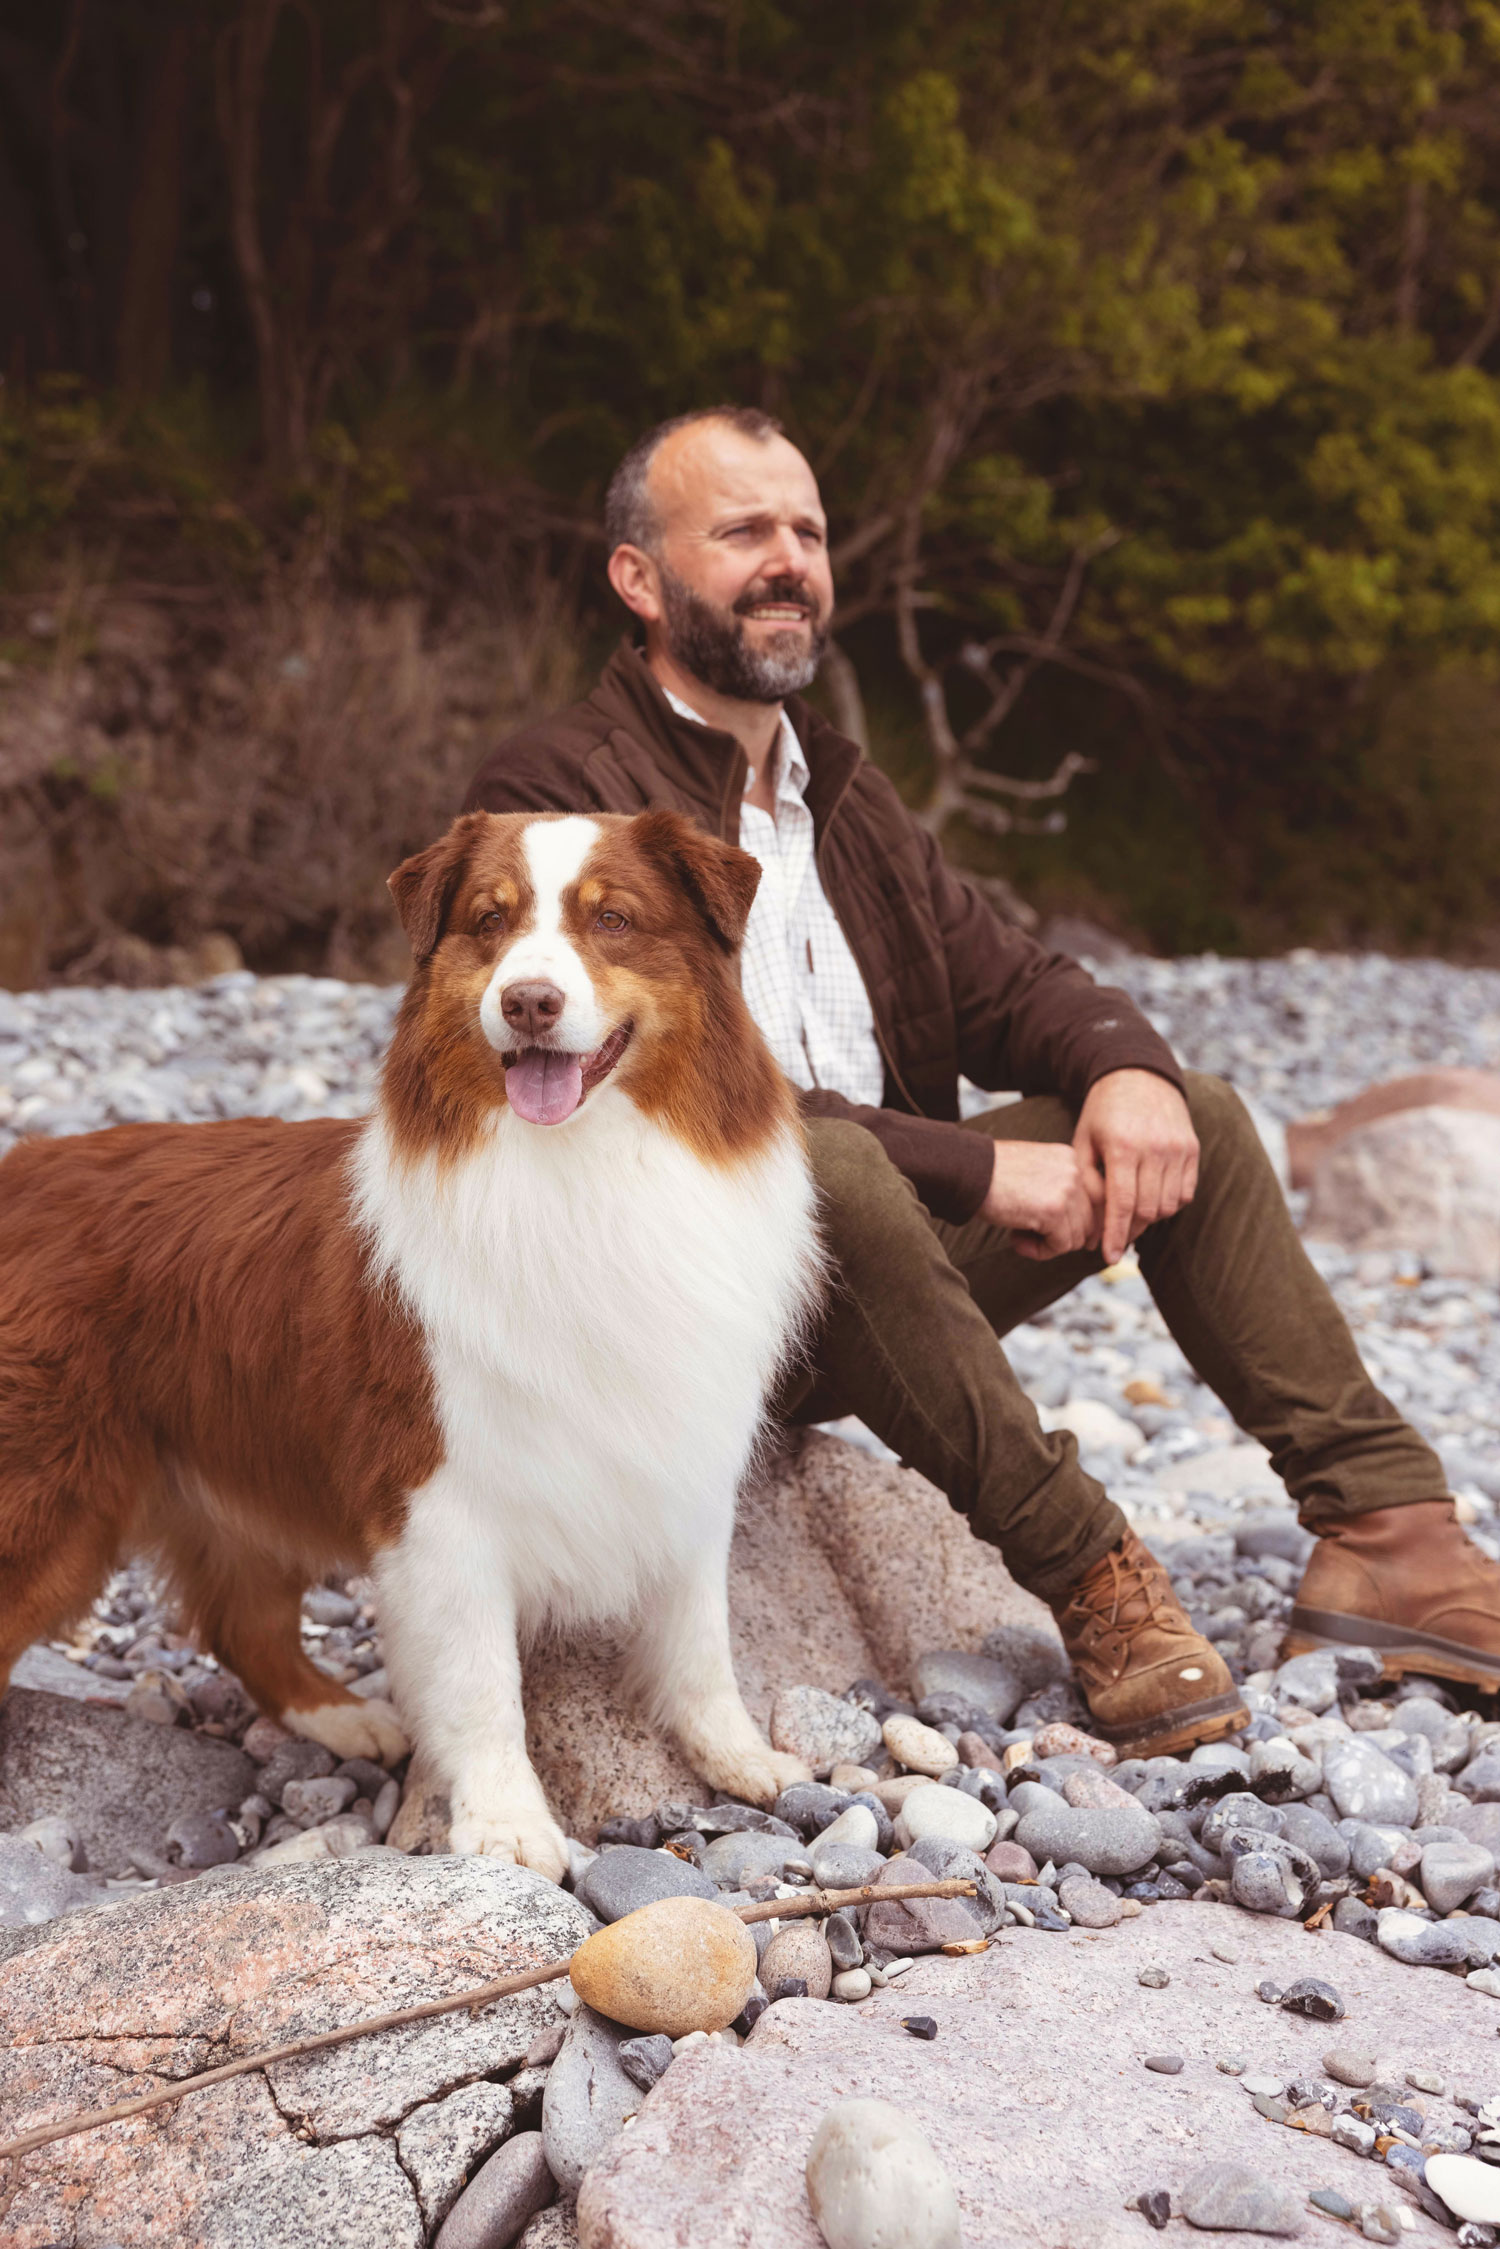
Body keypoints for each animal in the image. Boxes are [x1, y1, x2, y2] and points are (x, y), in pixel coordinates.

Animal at [0, 814, 823, 1880]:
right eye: (489, 921)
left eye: (613, 918)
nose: (527, 1000)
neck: (578, 1172)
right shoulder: (435, 1493)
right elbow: (481, 1678)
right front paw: (505, 1826)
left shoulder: (681, 1451)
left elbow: (698, 1634)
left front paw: (736, 1755)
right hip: (50, 1503)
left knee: (243, 1619)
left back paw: (346, 1719)